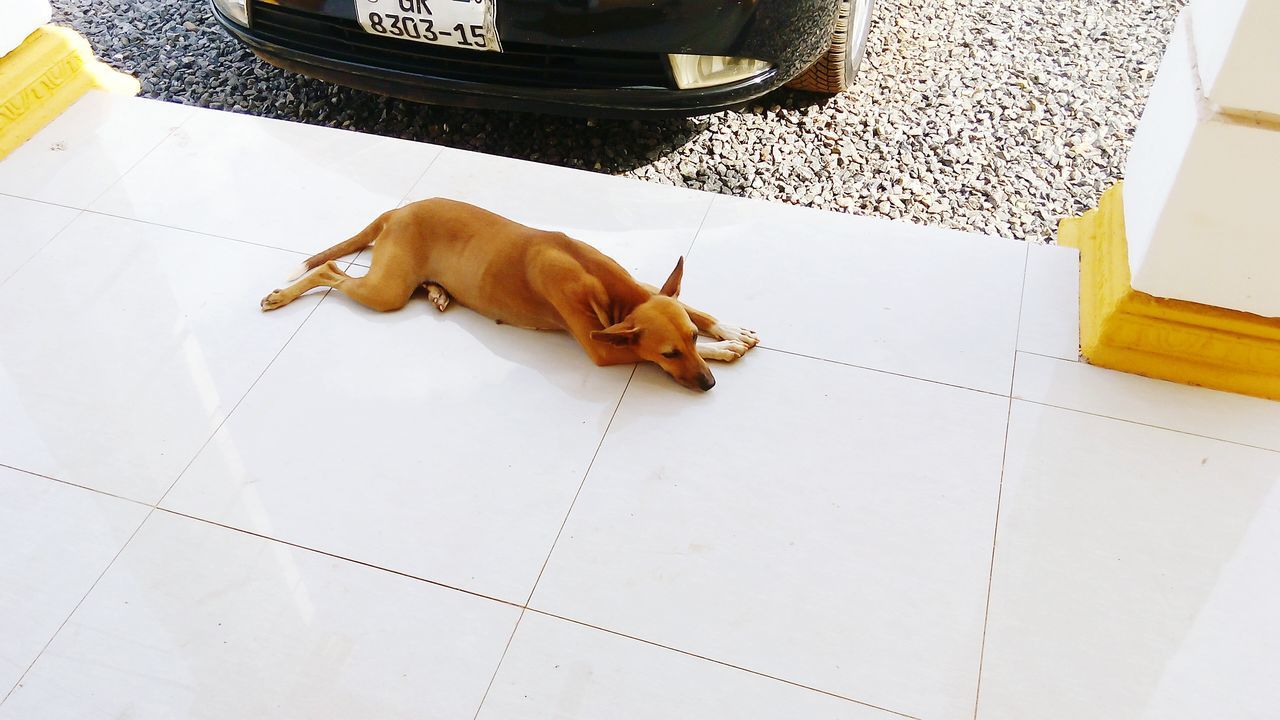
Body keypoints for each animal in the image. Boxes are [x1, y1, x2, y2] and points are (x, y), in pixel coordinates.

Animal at [261, 196, 757, 389]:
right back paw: (284, 295)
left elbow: (696, 308)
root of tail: (396, 211)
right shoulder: (601, 348)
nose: (710, 385)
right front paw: (724, 351)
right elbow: (634, 349)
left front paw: (728, 331)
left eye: (692, 338)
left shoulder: (648, 289)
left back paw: (439, 292)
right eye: (669, 354)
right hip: (386, 291)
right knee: (329, 268)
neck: (609, 286)